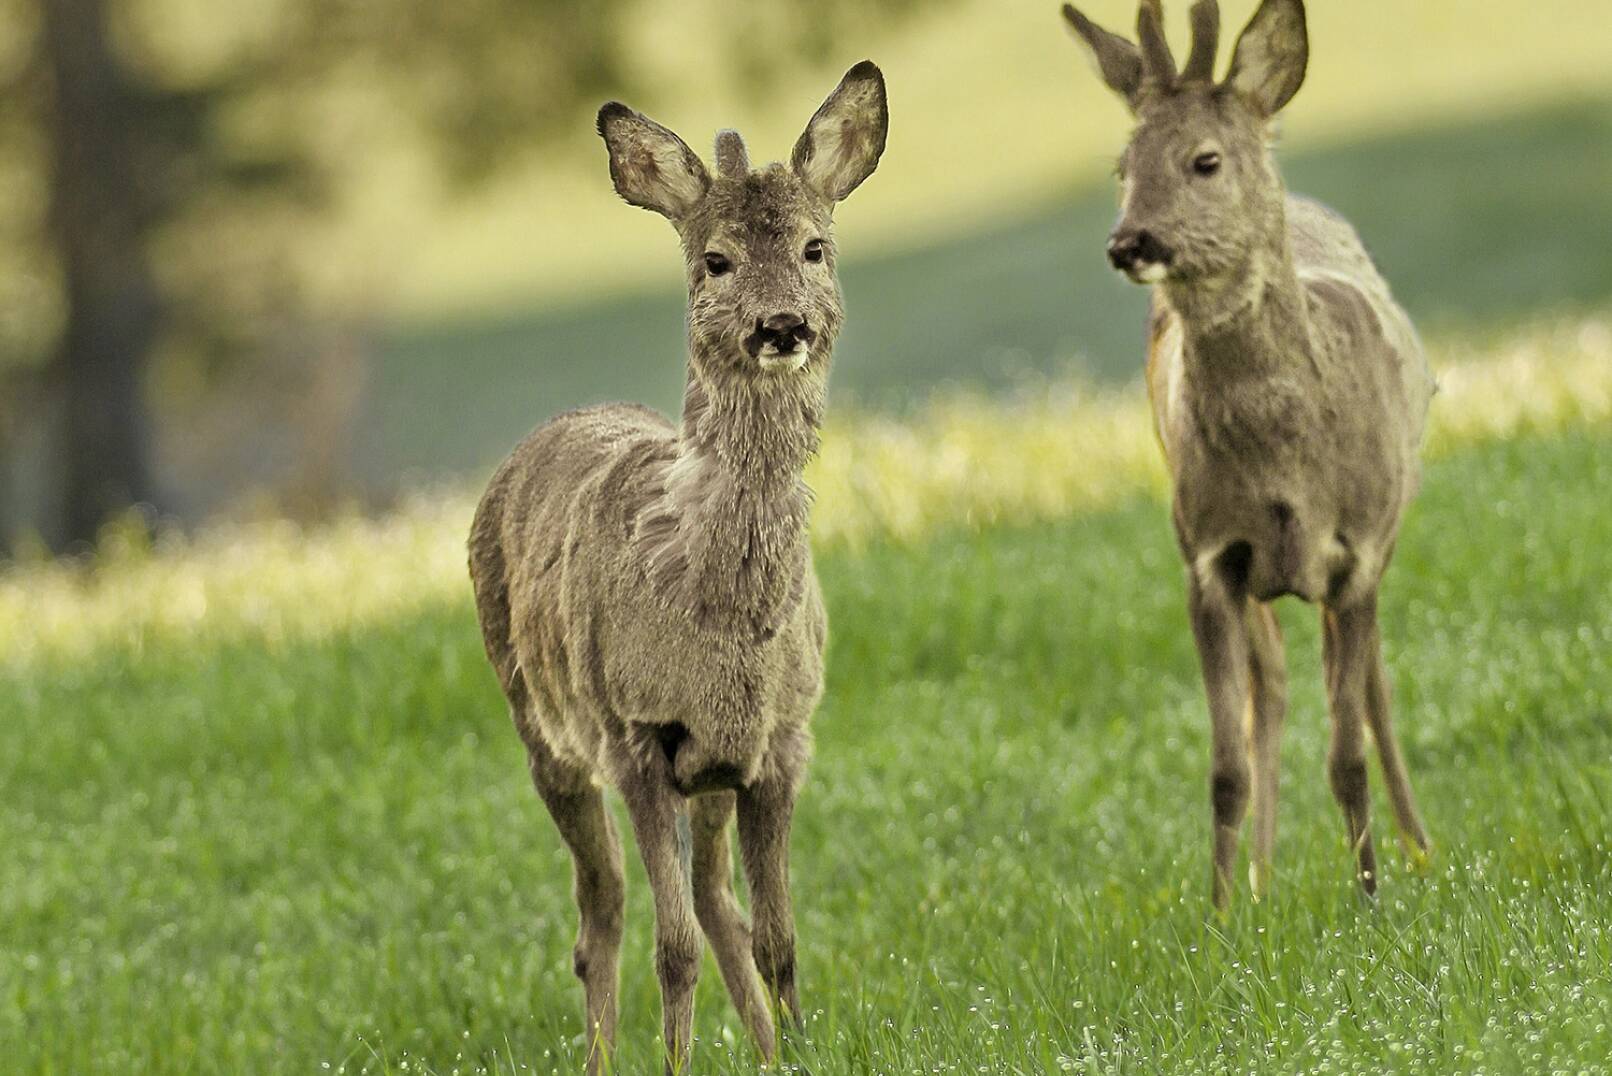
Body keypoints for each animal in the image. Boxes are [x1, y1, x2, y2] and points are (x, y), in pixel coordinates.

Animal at [467, 60, 896, 1076]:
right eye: (716, 262)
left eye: (816, 247)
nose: (781, 324)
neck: (719, 612)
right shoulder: (636, 734)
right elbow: (673, 949)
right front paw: (677, 1061)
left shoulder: (779, 736)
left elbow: (778, 934)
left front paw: (799, 1053)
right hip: (541, 725)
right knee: (602, 916)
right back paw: (601, 1057)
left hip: (712, 773)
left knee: (715, 902)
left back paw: (763, 1047)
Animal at [1057, 0, 1437, 909]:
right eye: (1121, 165)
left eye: (1205, 159)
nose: (1129, 242)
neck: (1286, 471)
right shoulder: (1207, 557)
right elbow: (1225, 765)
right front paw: (1224, 911)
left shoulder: (1358, 551)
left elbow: (1347, 752)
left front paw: (1370, 899)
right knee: (1277, 687)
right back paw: (1266, 877)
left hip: (1380, 540)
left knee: (1374, 688)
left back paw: (1417, 850)